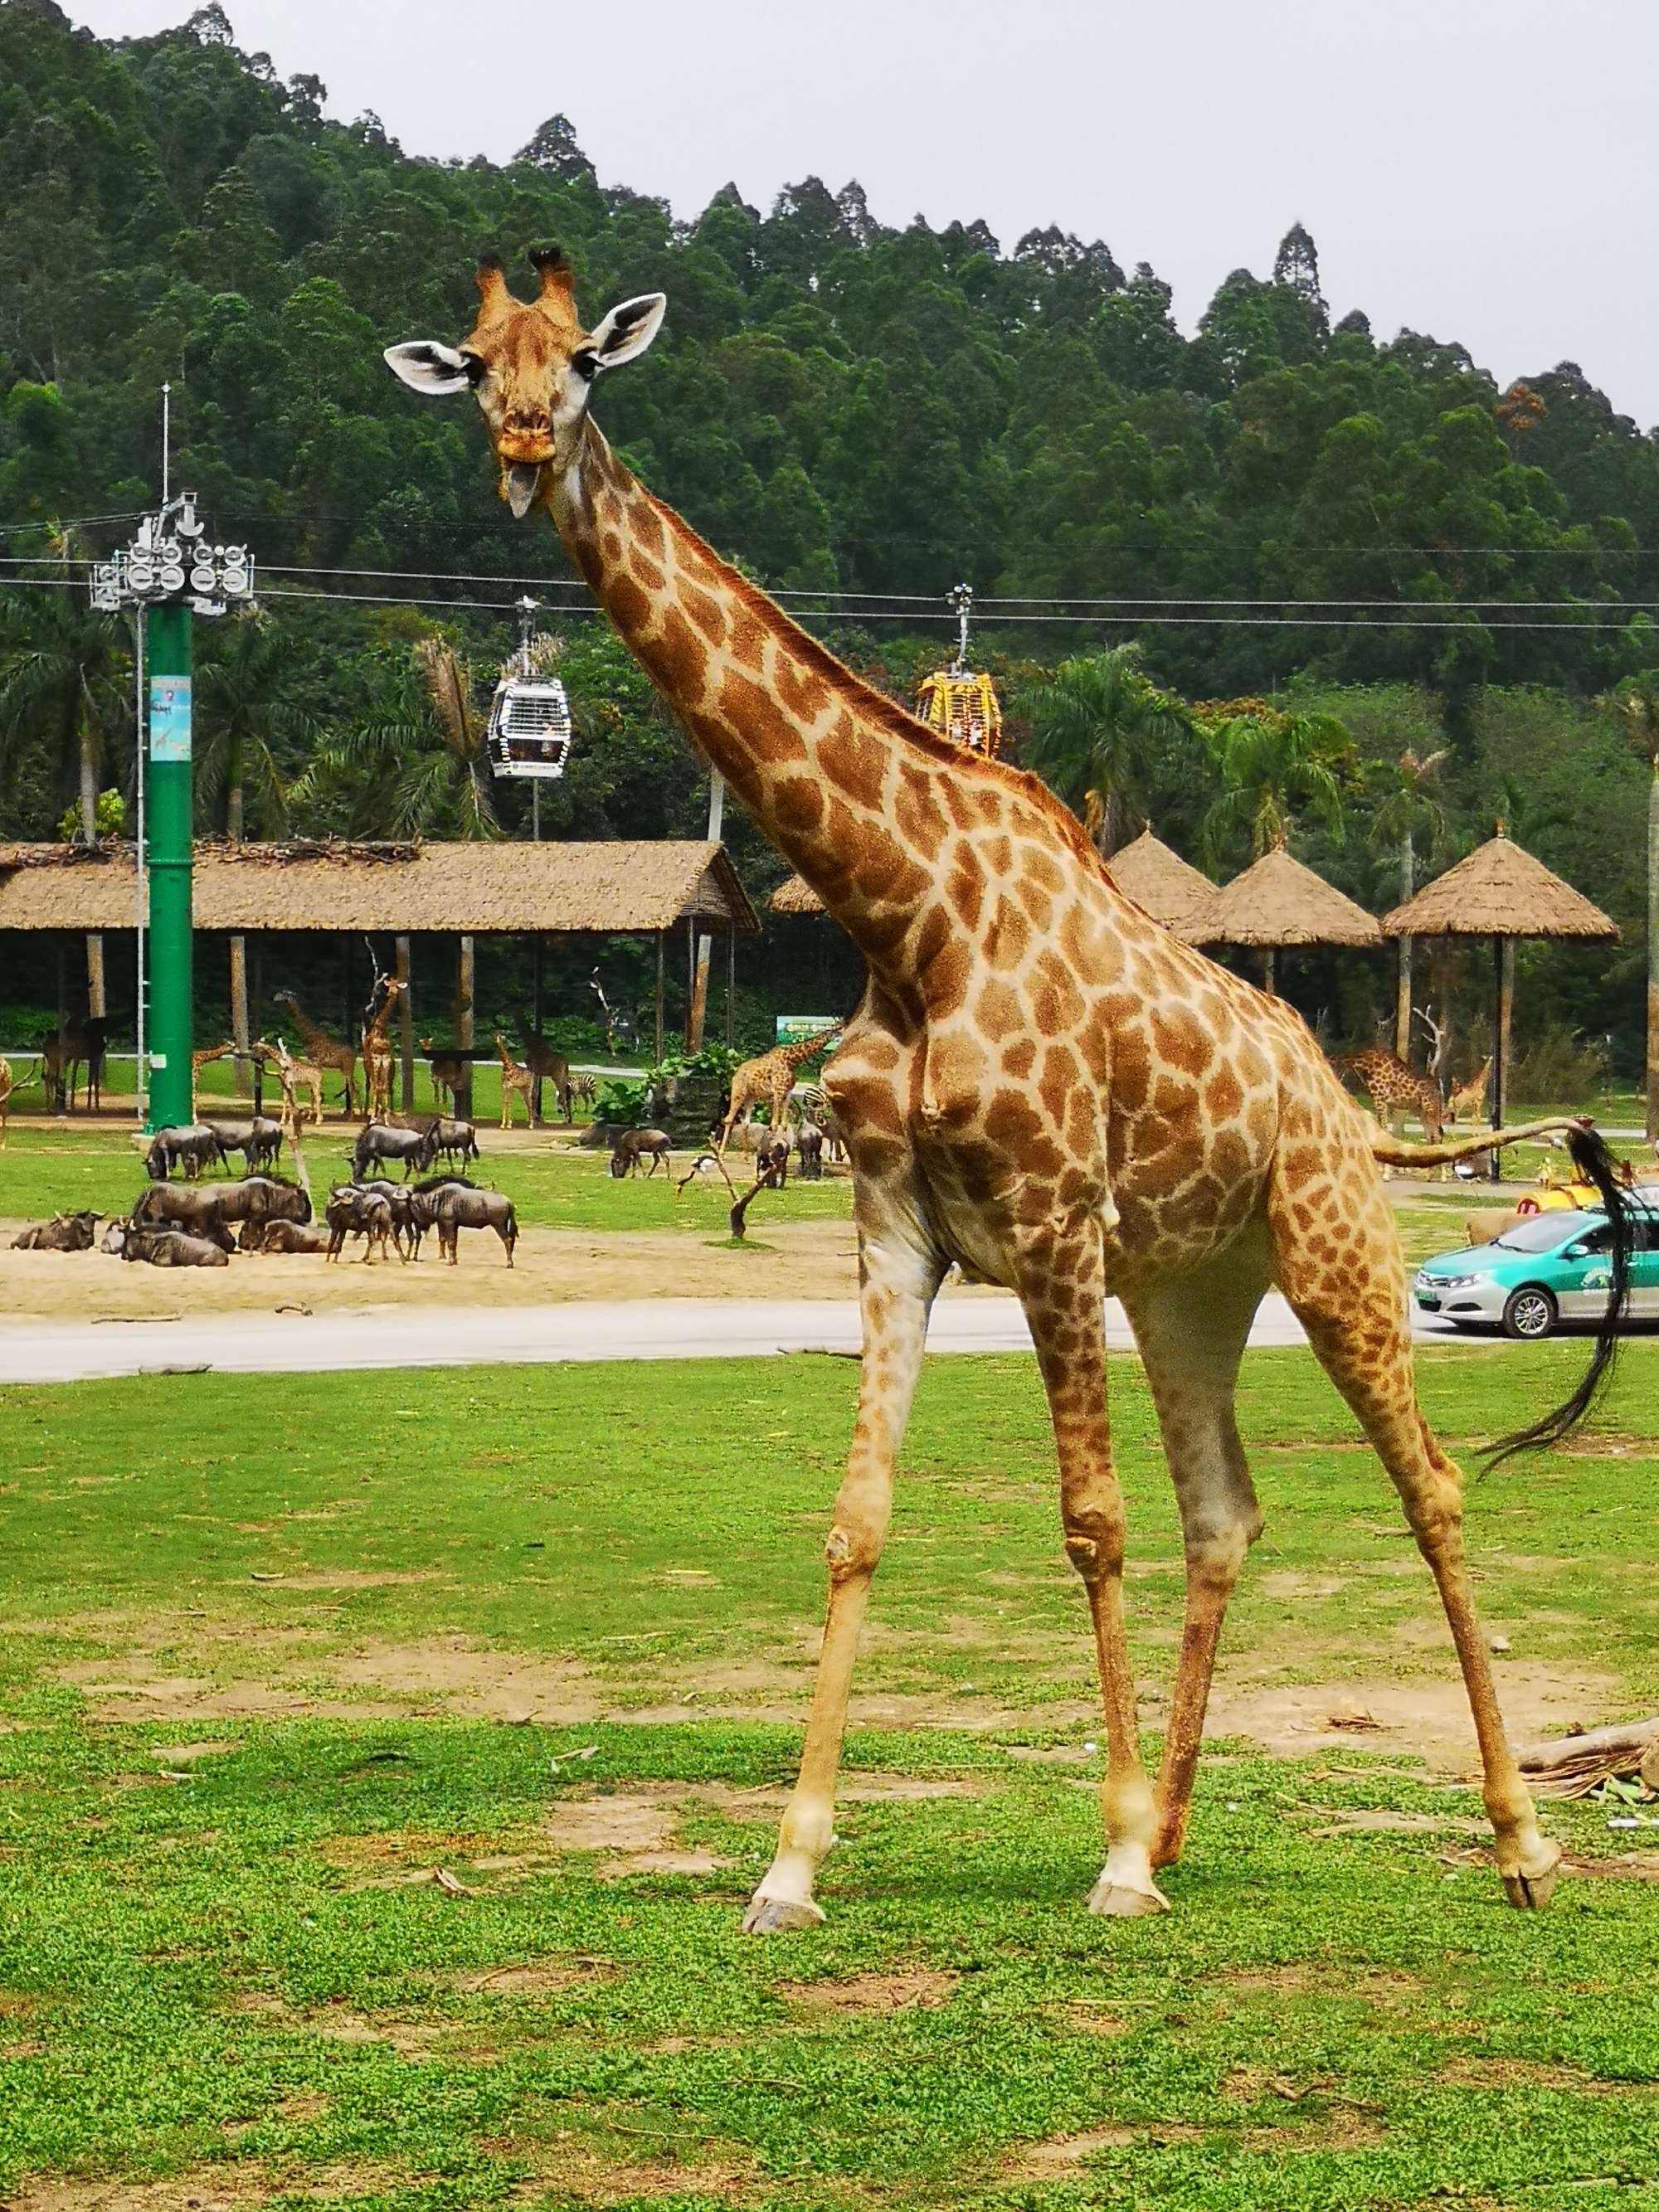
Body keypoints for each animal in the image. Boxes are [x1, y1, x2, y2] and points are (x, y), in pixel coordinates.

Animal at [273, 990, 358, 1115]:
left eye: (283, 994)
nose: (274, 998)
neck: (309, 1036)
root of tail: (355, 1054)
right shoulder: (311, 1060)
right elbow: (312, 1088)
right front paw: (313, 1112)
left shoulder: (316, 1060)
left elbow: (314, 1088)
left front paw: (315, 1112)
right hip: (343, 1067)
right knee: (355, 1085)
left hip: (347, 1066)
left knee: (352, 1087)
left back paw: (352, 1114)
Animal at [717, 1022, 844, 1159]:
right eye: (839, 1029)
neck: (792, 1061)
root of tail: (735, 1074)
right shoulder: (778, 1091)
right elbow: (774, 1124)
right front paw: (771, 1152)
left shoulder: (787, 1093)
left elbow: (783, 1123)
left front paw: (783, 1151)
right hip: (738, 1092)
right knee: (729, 1119)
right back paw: (721, 1155)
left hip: (751, 1097)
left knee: (745, 1124)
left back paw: (746, 1158)